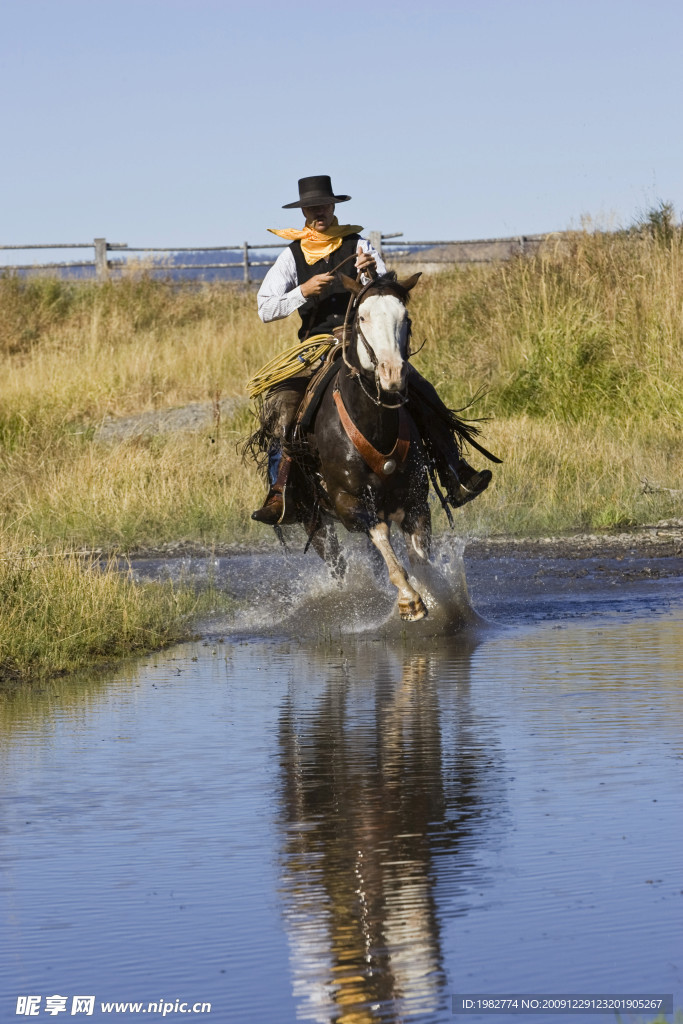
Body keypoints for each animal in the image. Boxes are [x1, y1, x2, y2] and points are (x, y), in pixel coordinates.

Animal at [288, 272, 432, 618]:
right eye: (363, 317)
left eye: (406, 317)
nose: (392, 373)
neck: (374, 425)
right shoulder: (349, 504)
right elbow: (381, 538)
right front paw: (410, 600)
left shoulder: (416, 500)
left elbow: (421, 560)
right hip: (316, 522)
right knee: (336, 563)